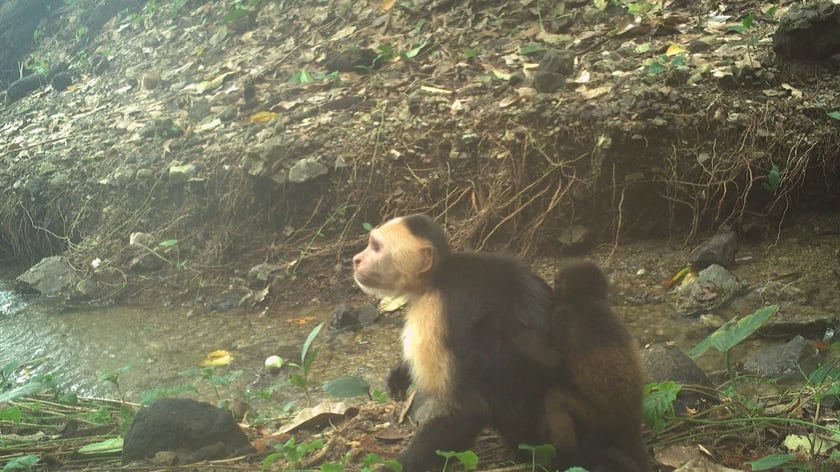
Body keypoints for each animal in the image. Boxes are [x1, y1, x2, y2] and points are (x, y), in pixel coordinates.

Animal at [352, 214, 649, 472]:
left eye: (376, 247)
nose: (356, 259)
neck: (436, 277)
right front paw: (400, 372)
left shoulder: (433, 315)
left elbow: (467, 410)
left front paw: (396, 466)